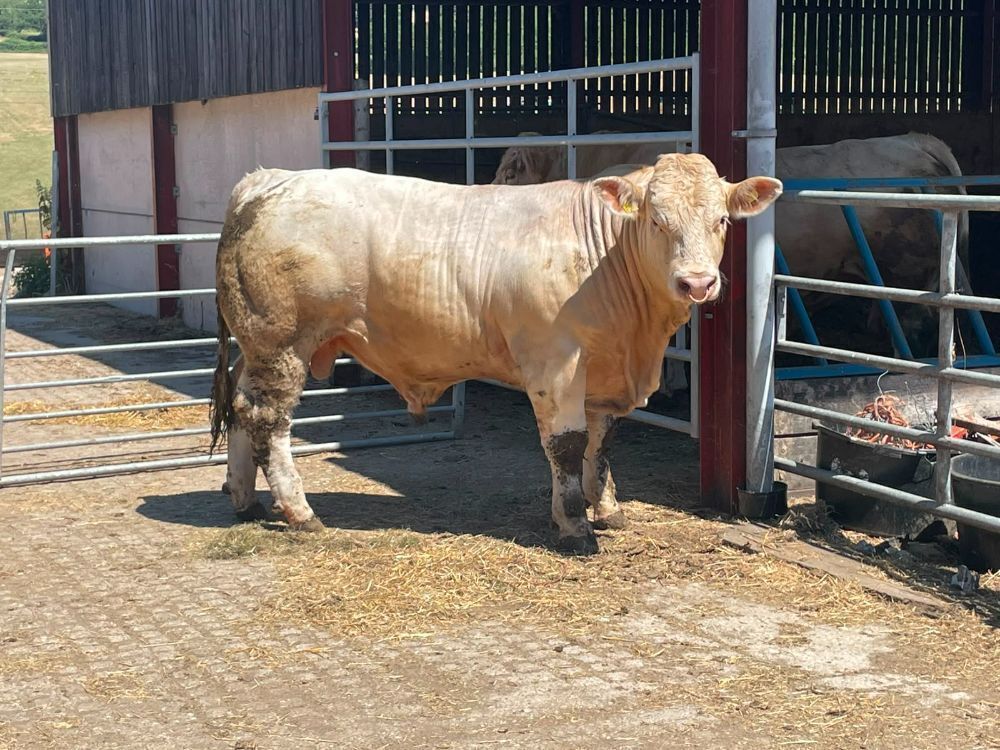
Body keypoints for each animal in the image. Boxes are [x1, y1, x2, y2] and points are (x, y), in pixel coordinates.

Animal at [209, 154, 782, 555]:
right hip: (283, 342)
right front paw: (574, 526)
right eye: (657, 221)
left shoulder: (605, 371)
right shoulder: (556, 362)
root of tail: (269, 180)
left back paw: (244, 498)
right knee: (267, 419)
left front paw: (607, 508)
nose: (698, 283)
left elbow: (602, 443)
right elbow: (567, 446)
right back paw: (299, 511)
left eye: (722, 221)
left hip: (256, 346)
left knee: (239, 407)